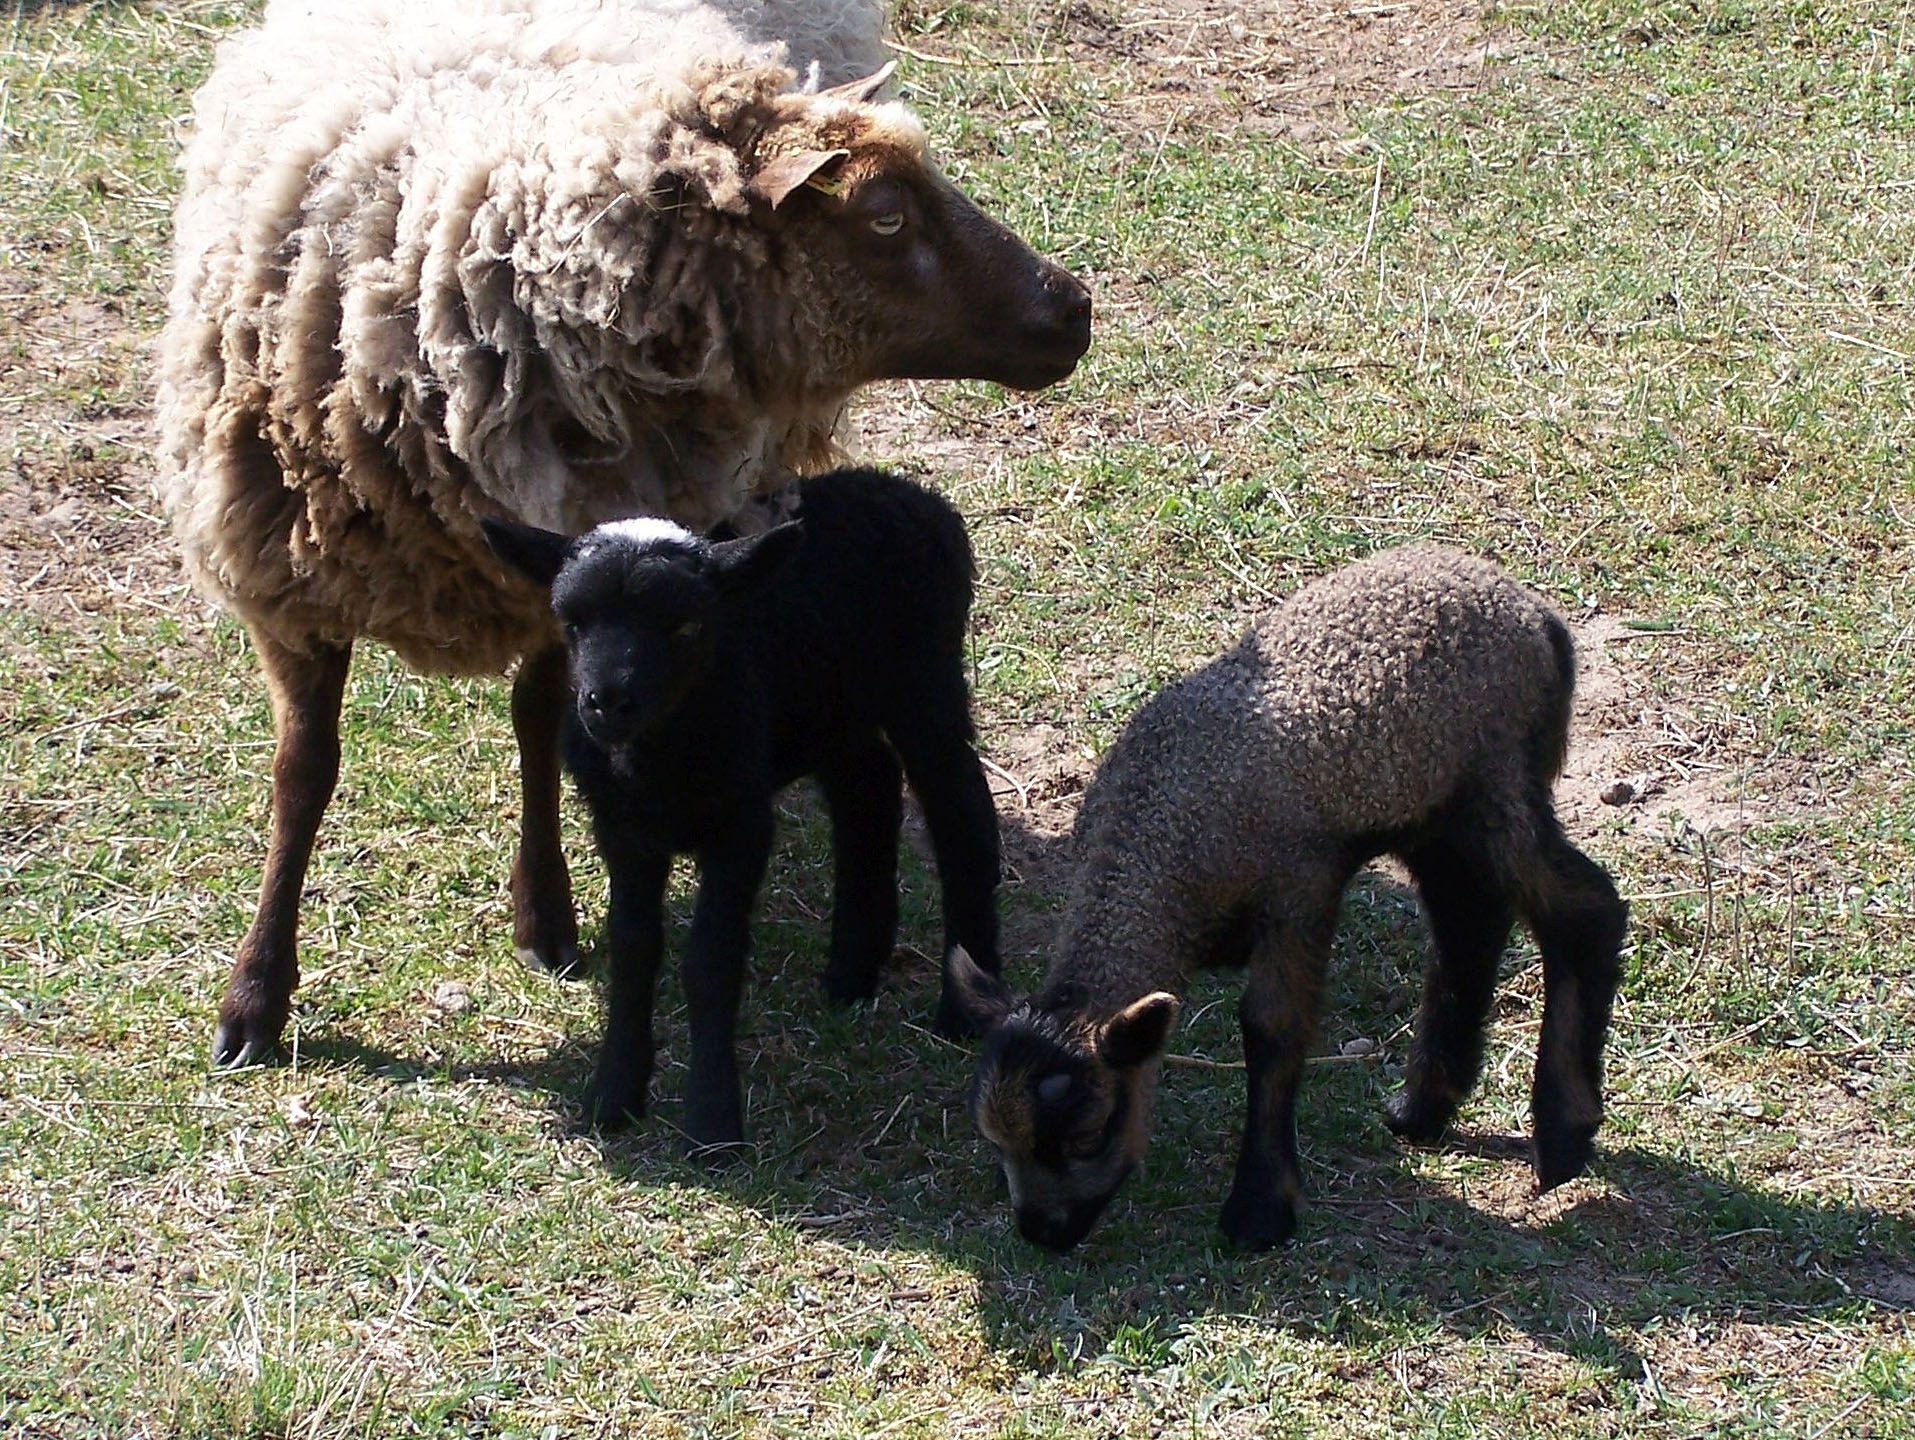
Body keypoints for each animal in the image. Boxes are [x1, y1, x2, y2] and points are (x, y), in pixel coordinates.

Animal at [157, 0, 1095, 1072]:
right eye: (886, 215)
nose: (1073, 306)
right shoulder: (292, 578)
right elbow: (303, 773)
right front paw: (255, 997)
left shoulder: (567, 559)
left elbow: (536, 722)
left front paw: (546, 915)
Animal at [482, 469, 1003, 1148]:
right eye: (571, 623)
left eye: (684, 626)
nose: (606, 703)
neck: (658, 758)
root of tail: (905, 490)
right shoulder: (623, 831)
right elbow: (634, 947)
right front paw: (614, 1097)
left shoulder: (742, 825)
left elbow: (711, 960)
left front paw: (712, 1124)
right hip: (828, 708)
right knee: (868, 785)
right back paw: (851, 971)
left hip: (924, 680)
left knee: (961, 811)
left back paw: (962, 1004)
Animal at [949, 543, 1623, 1256]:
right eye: (996, 1145)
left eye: (1087, 1135)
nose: (1040, 1233)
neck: (1155, 853)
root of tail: (1534, 612)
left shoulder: (1297, 893)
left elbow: (1273, 1030)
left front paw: (1259, 1208)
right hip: (1432, 813)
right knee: (1470, 922)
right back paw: (1423, 1109)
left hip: (1495, 780)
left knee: (1582, 910)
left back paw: (1564, 1133)